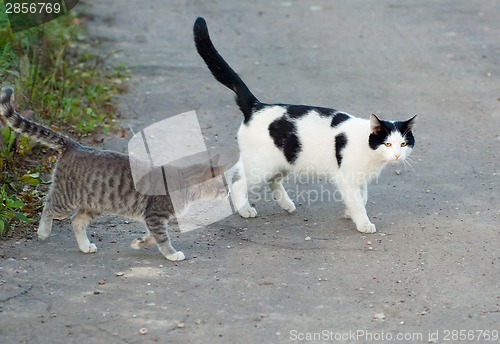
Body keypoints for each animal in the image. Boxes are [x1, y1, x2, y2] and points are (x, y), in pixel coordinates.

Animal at [0, 86, 227, 260]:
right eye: (224, 184)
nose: (229, 193)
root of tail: (74, 145)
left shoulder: (151, 218)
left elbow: (152, 236)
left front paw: (138, 243)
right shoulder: (155, 215)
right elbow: (162, 238)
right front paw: (172, 254)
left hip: (93, 203)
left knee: (76, 221)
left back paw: (85, 246)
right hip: (67, 198)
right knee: (49, 205)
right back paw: (43, 231)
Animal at [193, 18, 416, 234]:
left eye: (403, 144)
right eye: (388, 144)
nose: (397, 155)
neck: (369, 150)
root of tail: (256, 105)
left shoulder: (359, 180)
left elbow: (363, 197)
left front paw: (349, 212)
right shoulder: (347, 178)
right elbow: (358, 202)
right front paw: (363, 223)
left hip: (284, 159)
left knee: (271, 180)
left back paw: (286, 204)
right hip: (261, 164)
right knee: (238, 181)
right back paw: (245, 210)